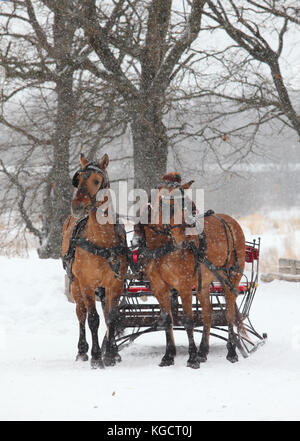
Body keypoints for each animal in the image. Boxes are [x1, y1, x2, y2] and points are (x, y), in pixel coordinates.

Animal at [61, 153, 127, 366]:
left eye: (96, 181)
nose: (77, 206)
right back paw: (82, 351)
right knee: (81, 314)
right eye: (79, 179)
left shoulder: (116, 283)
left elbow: (111, 317)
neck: (101, 240)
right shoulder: (87, 284)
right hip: (75, 284)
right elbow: (93, 319)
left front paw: (111, 354)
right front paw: (97, 357)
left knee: (106, 313)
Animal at [134, 172, 246, 368]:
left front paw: (192, 357)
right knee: (208, 312)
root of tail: (231, 221)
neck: (161, 246)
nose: (186, 236)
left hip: (232, 276)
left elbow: (188, 320)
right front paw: (168, 356)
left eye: (187, 203)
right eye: (171, 205)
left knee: (229, 312)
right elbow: (167, 319)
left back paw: (231, 352)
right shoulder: (158, 287)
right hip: (204, 282)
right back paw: (203, 351)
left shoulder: (184, 285)